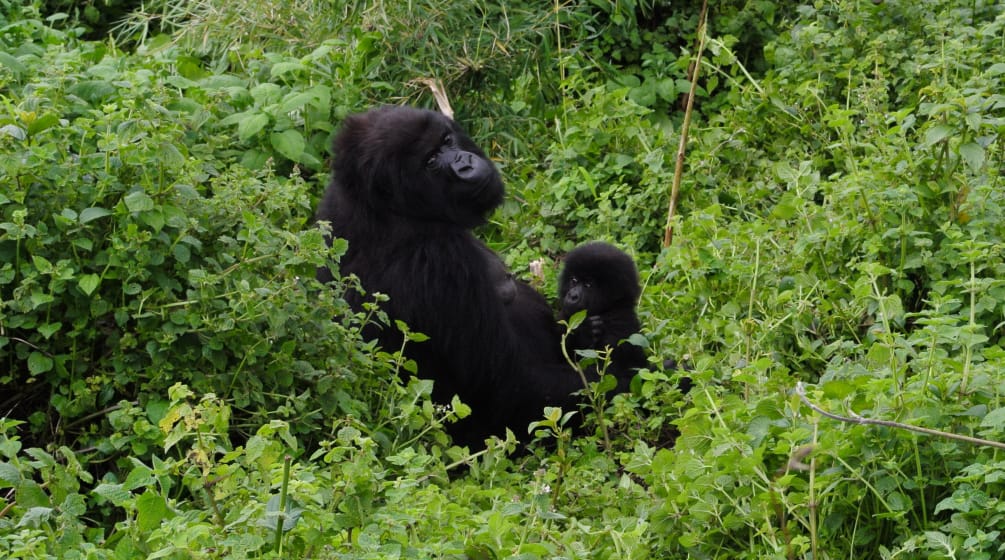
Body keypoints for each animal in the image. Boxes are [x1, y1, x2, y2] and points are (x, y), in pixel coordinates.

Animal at [317, 106, 611, 446]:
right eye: (430, 161)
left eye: (447, 141)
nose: (464, 164)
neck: (387, 207)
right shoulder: (440, 260)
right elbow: (508, 387)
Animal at [562, 240, 647, 388]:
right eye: (574, 280)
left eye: (588, 284)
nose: (572, 296)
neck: (608, 309)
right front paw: (584, 333)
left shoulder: (617, 331)